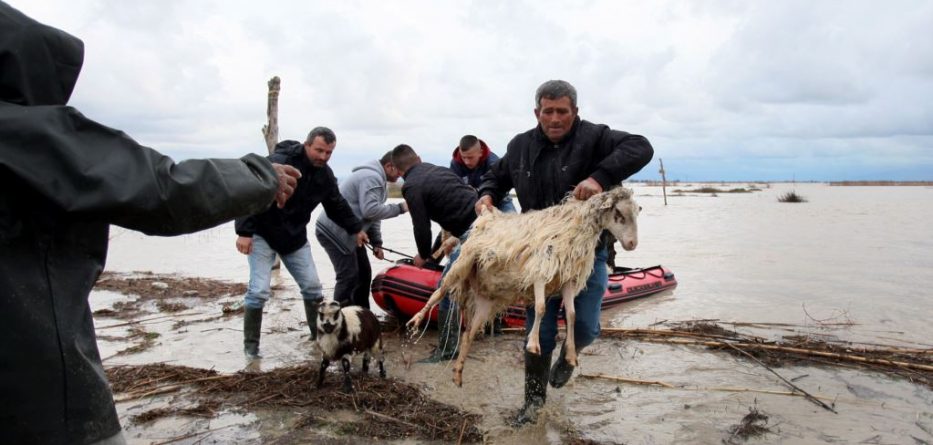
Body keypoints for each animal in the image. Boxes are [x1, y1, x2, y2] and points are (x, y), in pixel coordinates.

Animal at [410, 186, 640, 386]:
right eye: (618, 212)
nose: (632, 244)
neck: (574, 225)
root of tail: (487, 216)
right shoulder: (540, 270)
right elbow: (540, 308)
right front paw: (533, 344)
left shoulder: (567, 279)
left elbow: (573, 315)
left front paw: (571, 355)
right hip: (462, 263)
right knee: (438, 293)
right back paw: (416, 321)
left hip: (485, 302)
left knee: (468, 335)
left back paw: (458, 374)